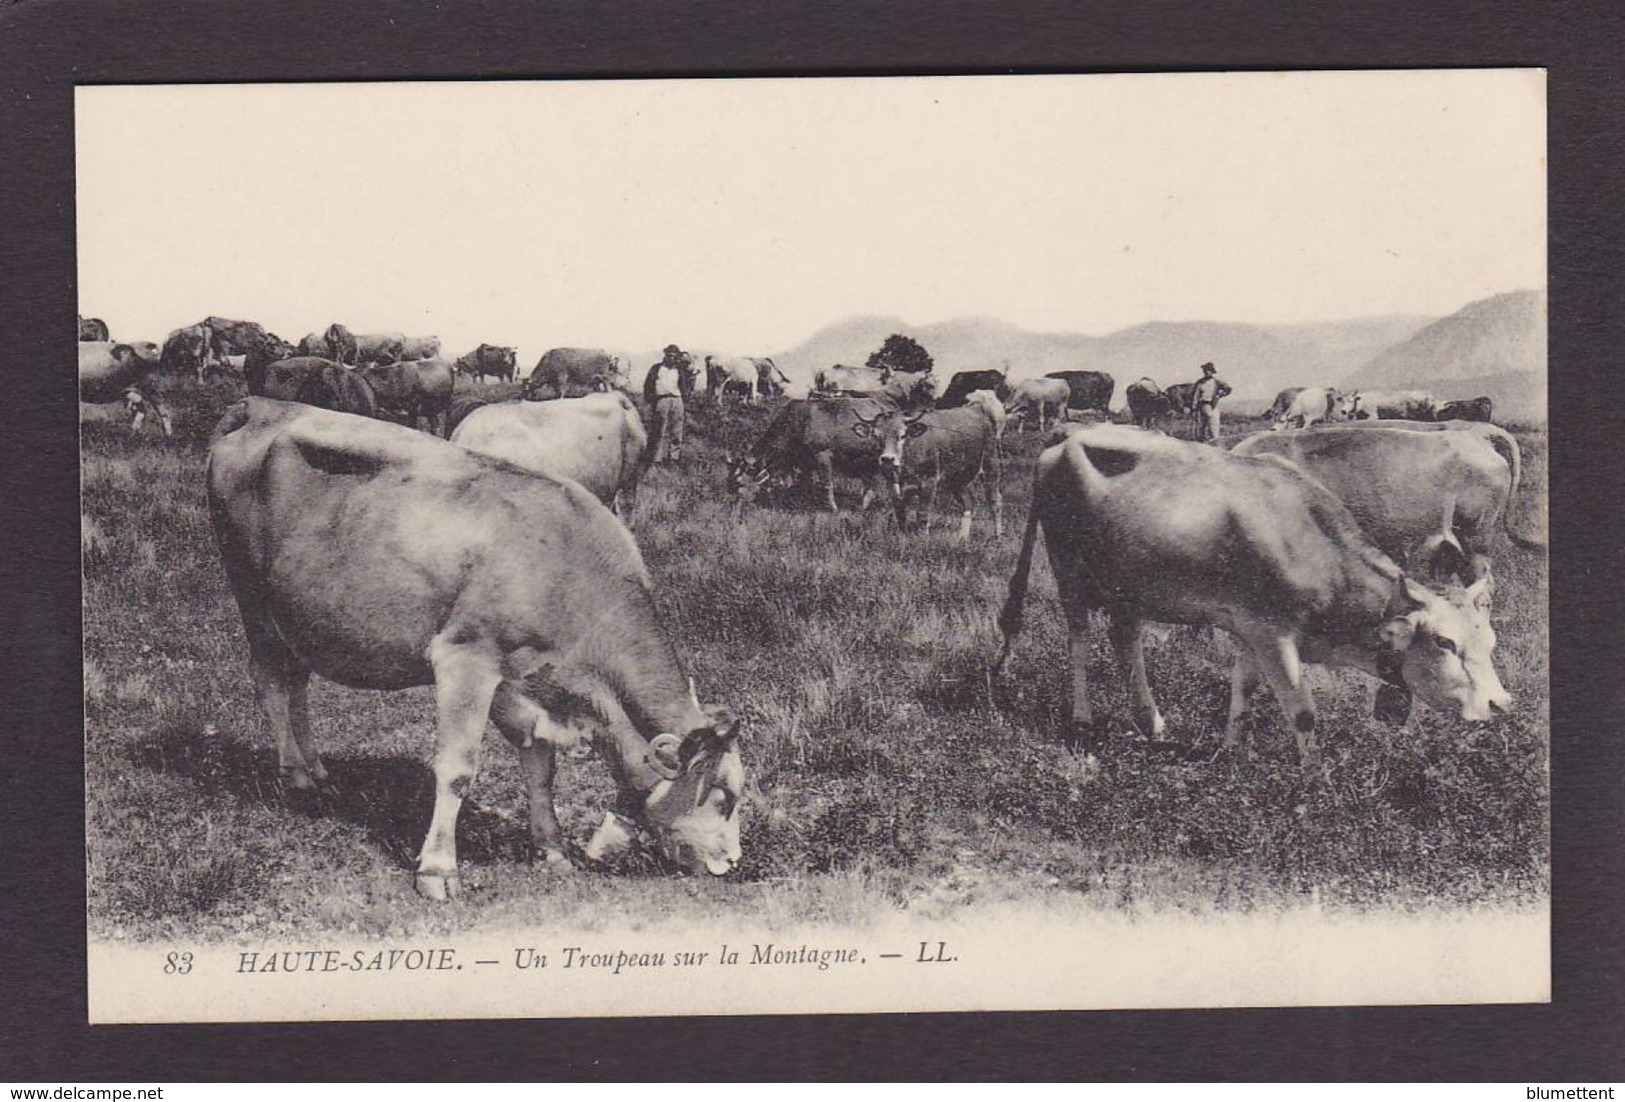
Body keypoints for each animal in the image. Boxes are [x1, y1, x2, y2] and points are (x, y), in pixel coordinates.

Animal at [734, 399, 910, 516]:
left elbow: (827, 484)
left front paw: (832, 508)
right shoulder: (804, 461)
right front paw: (802, 503)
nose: (736, 508)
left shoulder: (822, 454)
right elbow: (804, 484)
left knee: (891, 479)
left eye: (739, 483)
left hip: (891, 458)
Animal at [877, 394, 1001, 542]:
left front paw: (922, 541)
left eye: (902, 435)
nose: (887, 458)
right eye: (878, 436)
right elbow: (900, 515)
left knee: (994, 501)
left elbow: (922, 515)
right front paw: (903, 539)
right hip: (956, 479)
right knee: (969, 501)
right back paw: (962, 538)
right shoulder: (894, 487)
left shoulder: (929, 482)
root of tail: (977, 409)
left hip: (990, 465)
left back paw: (998, 536)